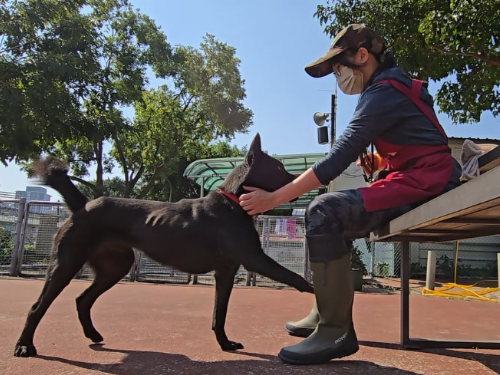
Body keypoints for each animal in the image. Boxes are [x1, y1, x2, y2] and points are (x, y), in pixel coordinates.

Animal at [14, 134, 312, 358]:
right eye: (278, 168)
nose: (302, 183)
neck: (233, 201)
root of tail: (83, 205)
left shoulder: (226, 272)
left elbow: (220, 312)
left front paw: (224, 344)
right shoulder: (254, 258)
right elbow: (294, 276)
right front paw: (313, 292)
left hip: (115, 266)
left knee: (83, 299)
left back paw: (93, 334)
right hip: (66, 264)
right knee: (37, 307)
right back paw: (24, 345)